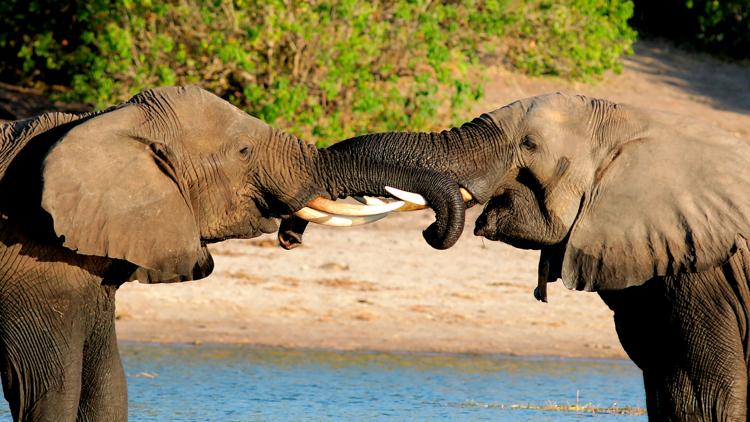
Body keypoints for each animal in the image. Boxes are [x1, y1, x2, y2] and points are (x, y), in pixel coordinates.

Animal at [0, 84, 464, 420]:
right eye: (244, 151)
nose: (291, 237)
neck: (103, 122)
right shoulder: (30, 262)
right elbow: (53, 389)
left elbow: (107, 386)